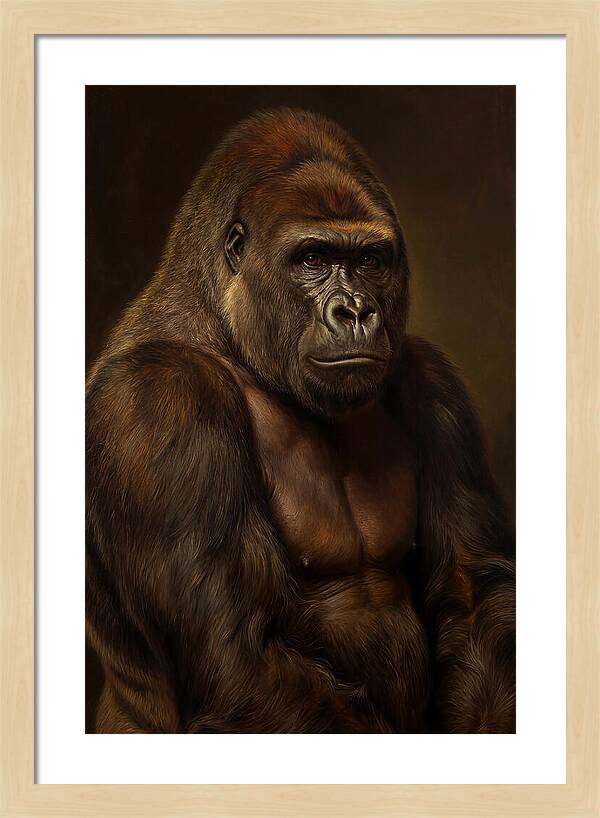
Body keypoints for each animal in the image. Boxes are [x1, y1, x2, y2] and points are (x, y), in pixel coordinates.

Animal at [86, 107, 515, 733]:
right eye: (312, 259)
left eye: (368, 261)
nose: (356, 311)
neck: (229, 333)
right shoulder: (160, 400)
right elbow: (236, 657)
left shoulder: (433, 384)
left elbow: (472, 592)